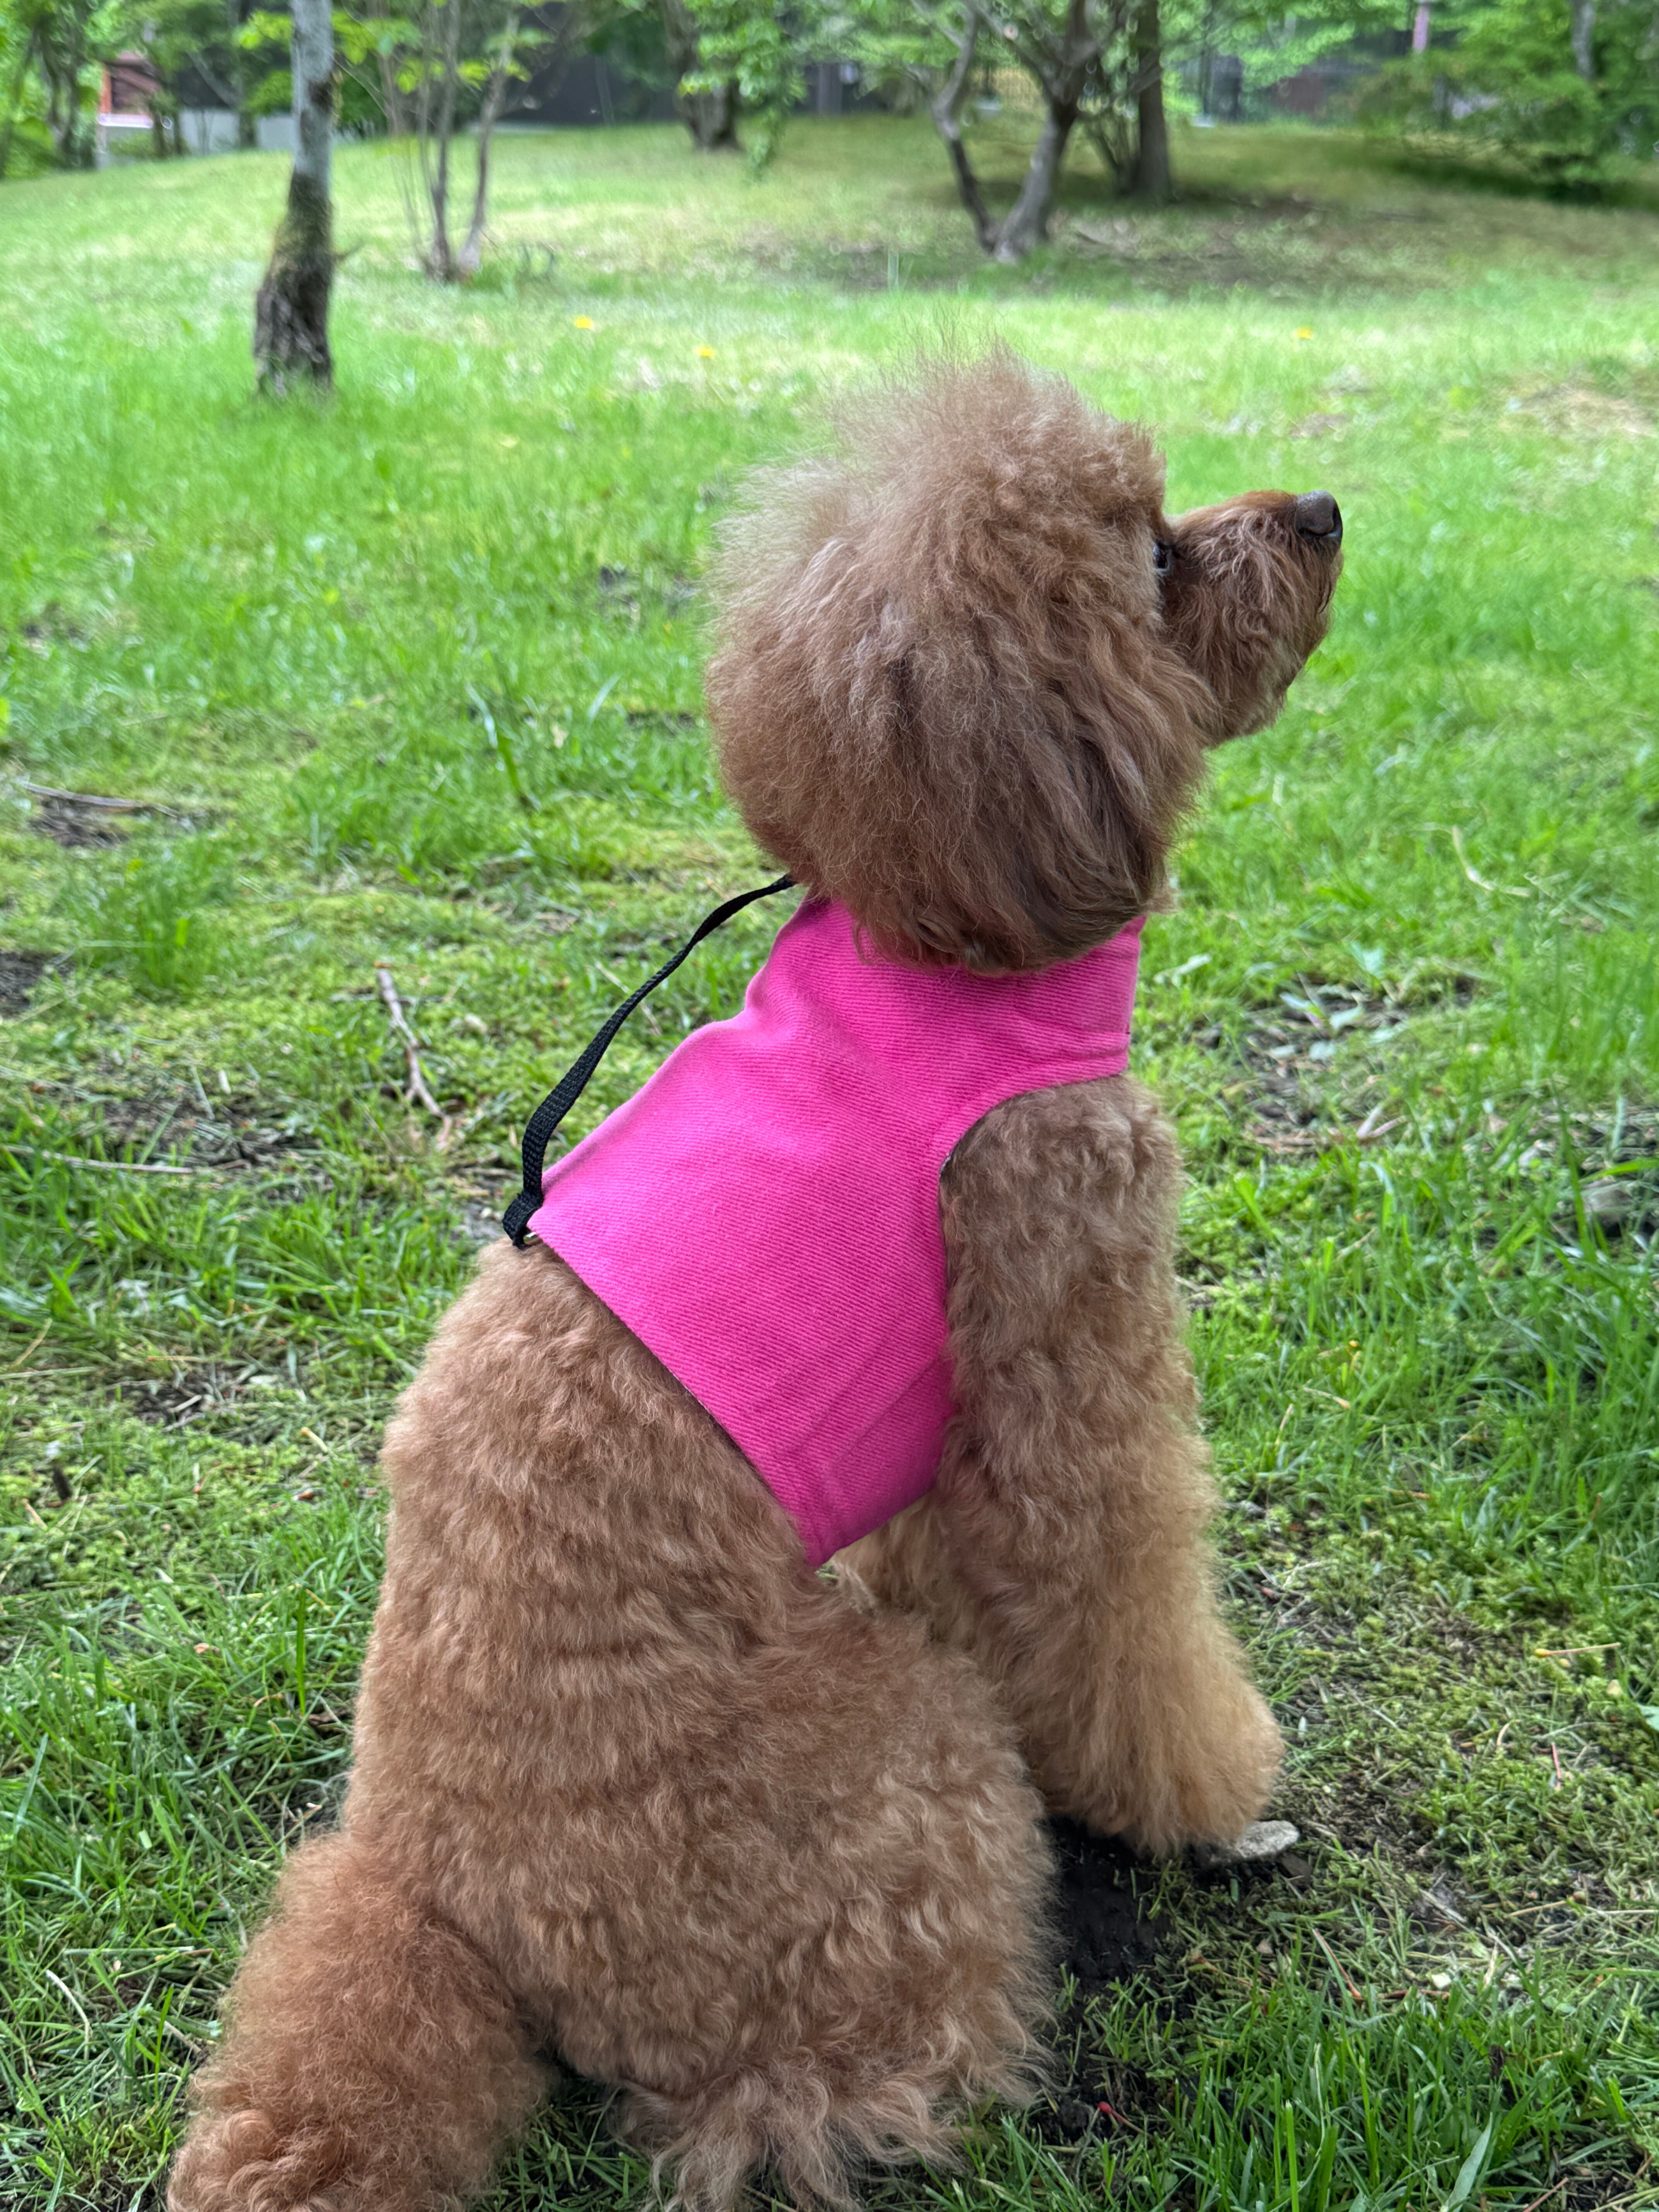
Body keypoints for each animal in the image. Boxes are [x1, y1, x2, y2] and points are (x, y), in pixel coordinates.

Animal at [169, 355, 1343, 2212]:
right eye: (1153, 556)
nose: (1324, 514)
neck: (949, 944)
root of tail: (445, 1904)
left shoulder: (953, 1423)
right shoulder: (1068, 1321)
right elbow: (1123, 1588)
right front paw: (1205, 1788)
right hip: (884, 1758)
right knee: (794, 2092)